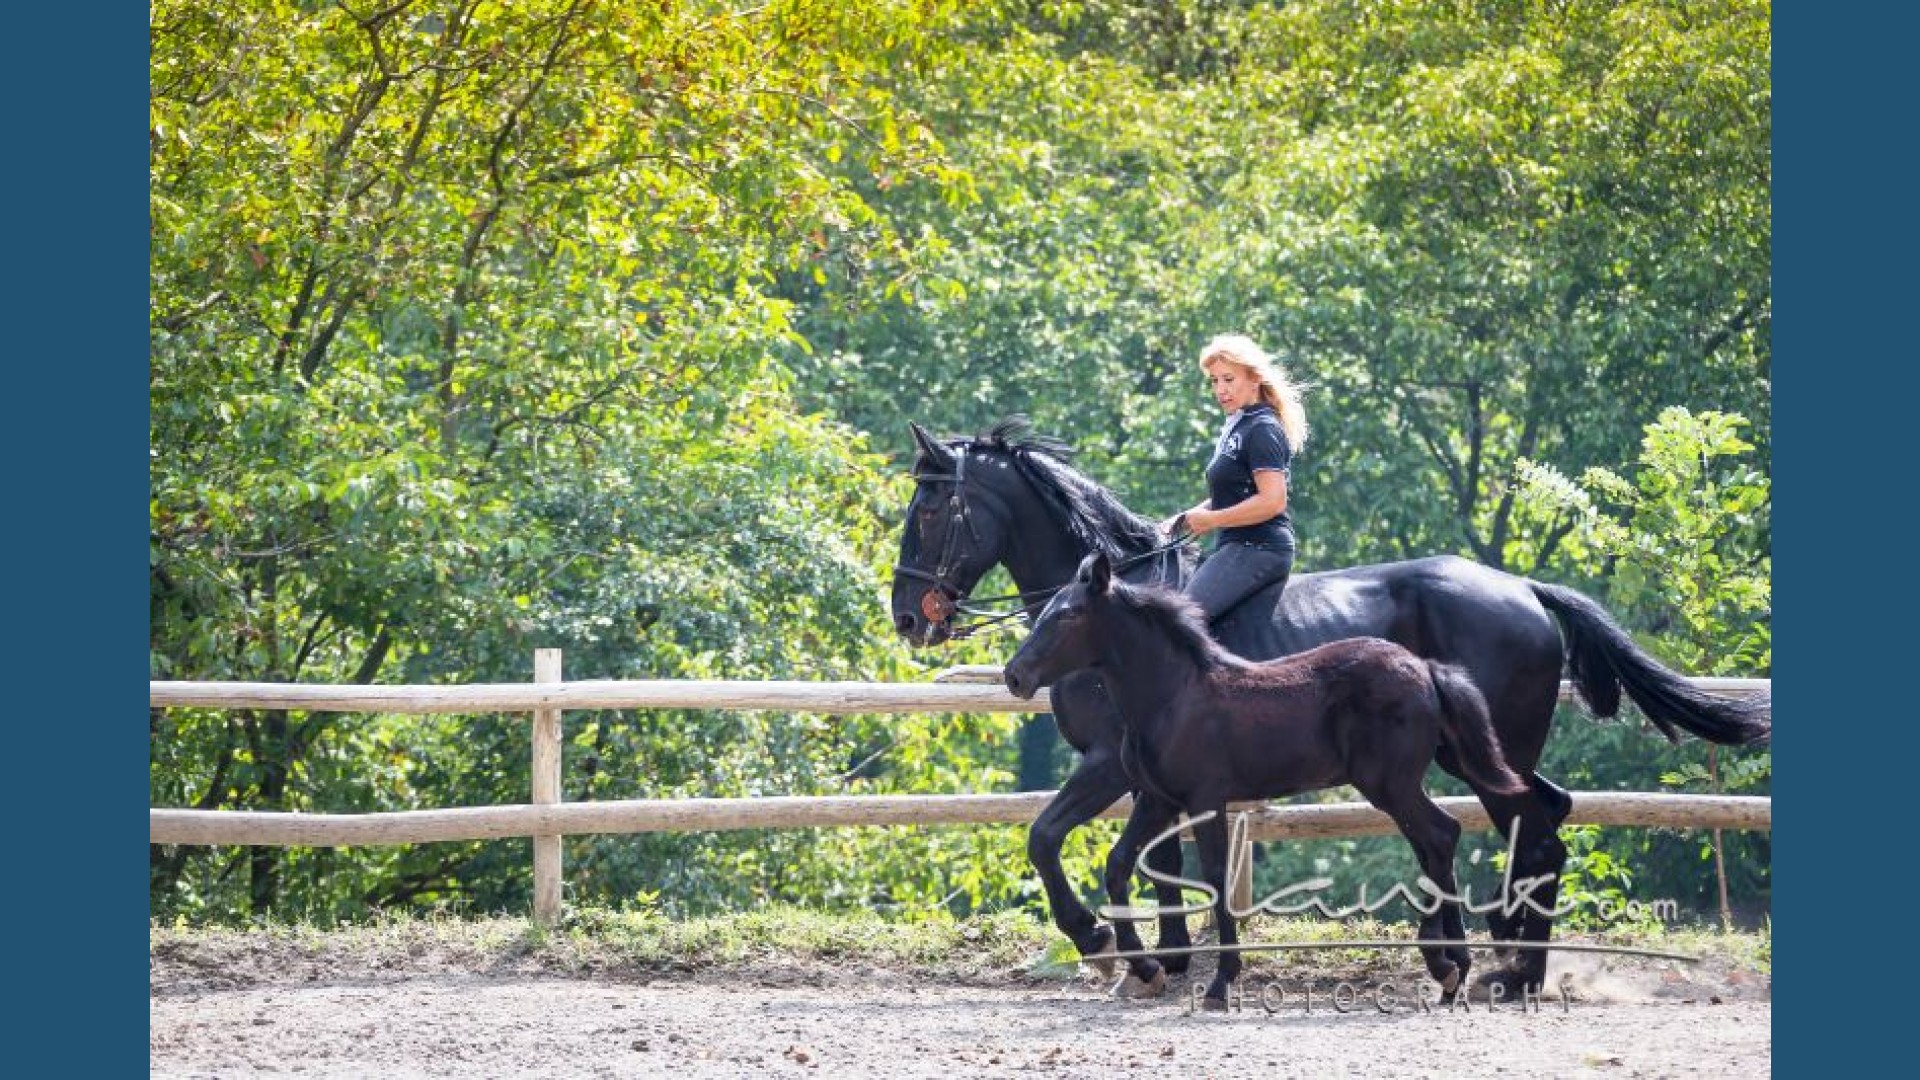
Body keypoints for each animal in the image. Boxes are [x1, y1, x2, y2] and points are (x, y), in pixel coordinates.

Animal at [1006, 549, 1528, 1006]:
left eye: (1068, 615)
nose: (1015, 675)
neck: (1173, 695)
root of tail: (1425, 668)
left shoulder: (1204, 798)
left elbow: (1216, 877)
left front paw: (1220, 982)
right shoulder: (1158, 798)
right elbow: (1119, 863)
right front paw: (1144, 965)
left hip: (1390, 784)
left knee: (1439, 836)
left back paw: (1450, 967)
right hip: (1397, 786)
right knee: (1441, 838)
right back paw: (1452, 972)